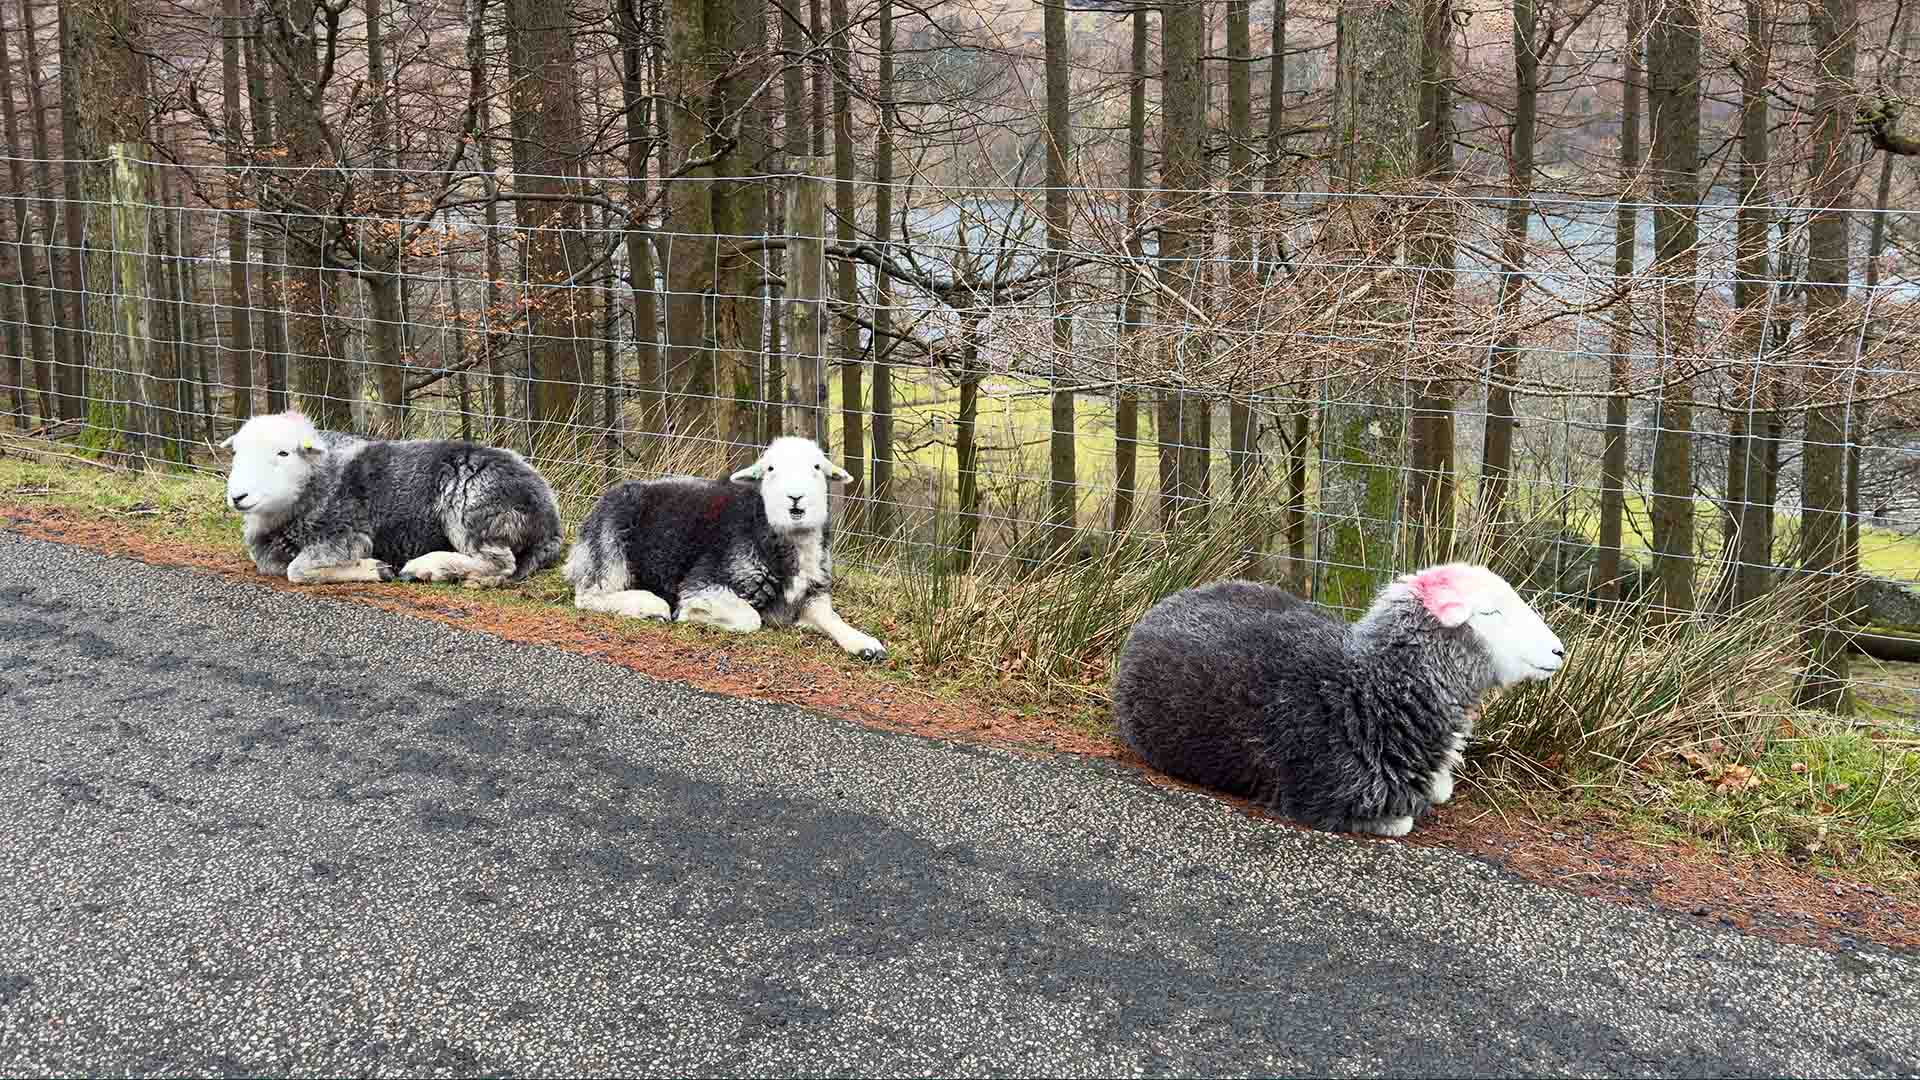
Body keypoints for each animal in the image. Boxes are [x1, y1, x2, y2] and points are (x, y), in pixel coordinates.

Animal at [220, 410, 565, 588]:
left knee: (498, 562)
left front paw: (374, 569)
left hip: (473, 505)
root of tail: (551, 517)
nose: (238, 497)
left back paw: (429, 567)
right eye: (237, 452)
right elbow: (278, 566)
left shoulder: (346, 534)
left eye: (283, 453)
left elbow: (297, 570)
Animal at [564, 435, 887, 661]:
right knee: (590, 595)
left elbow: (832, 618)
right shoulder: (704, 581)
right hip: (610, 545)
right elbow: (750, 618)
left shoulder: (811, 595)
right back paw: (650, 606)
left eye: (817, 467)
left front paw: (866, 644)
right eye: (770, 469)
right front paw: (693, 614)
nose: (795, 498)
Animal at [1110, 563, 1566, 838]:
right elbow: (1402, 822)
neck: (1367, 690)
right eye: (1490, 613)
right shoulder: (1327, 800)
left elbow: (1440, 790)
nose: (1559, 651)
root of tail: (1169, 600)